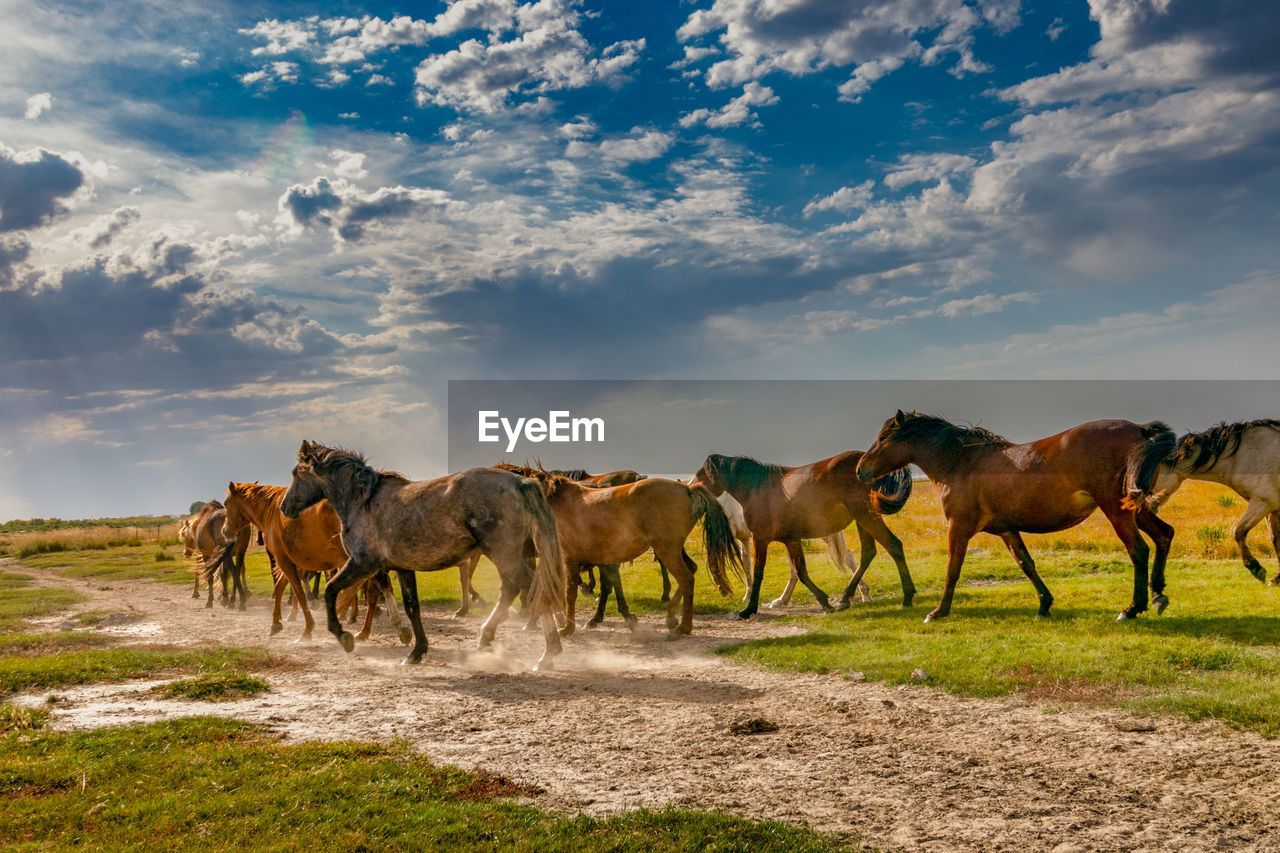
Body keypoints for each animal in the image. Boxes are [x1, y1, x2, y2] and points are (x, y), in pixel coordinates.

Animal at [282, 440, 568, 666]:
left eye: (296, 473)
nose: (285, 507)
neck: (363, 501)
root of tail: (519, 481)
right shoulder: (403, 568)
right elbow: (412, 608)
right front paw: (417, 652)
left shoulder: (363, 564)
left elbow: (331, 590)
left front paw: (344, 637)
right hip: (503, 555)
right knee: (511, 590)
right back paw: (486, 638)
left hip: (503, 554)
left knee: (535, 590)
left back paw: (549, 653)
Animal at [524, 468, 747, 635]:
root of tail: (687, 489)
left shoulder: (568, 561)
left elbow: (568, 593)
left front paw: (566, 628)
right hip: (672, 549)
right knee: (690, 571)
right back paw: (671, 617)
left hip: (667, 550)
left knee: (686, 578)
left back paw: (682, 628)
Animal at [691, 450, 911, 617]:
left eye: (700, 475)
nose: (690, 491)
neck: (758, 490)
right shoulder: (791, 540)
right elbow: (801, 572)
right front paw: (825, 602)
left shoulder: (760, 539)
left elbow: (758, 571)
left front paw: (749, 609)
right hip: (861, 520)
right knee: (867, 553)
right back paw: (845, 598)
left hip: (864, 516)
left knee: (892, 545)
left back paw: (905, 597)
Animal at [855, 409, 1172, 622]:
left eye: (883, 438)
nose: (861, 470)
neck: (961, 463)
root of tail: (1140, 430)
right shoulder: (1007, 530)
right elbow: (1026, 564)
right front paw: (1045, 604)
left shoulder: (958, 527)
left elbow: (952, 569)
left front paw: (938, 611)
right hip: (1136, 507)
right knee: (1163, 535)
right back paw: (1158, 595)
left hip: (1116, 508)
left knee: (1139, 550)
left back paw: (1132, 608)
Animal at [1146, 417, 1280, 584]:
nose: (1147, 505)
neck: (1241, 456)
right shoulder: (1272, 509)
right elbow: (1276, 540)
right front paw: (1276, 578)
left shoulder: (1262, 503)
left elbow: (1238, 532)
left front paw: (1255, 568)